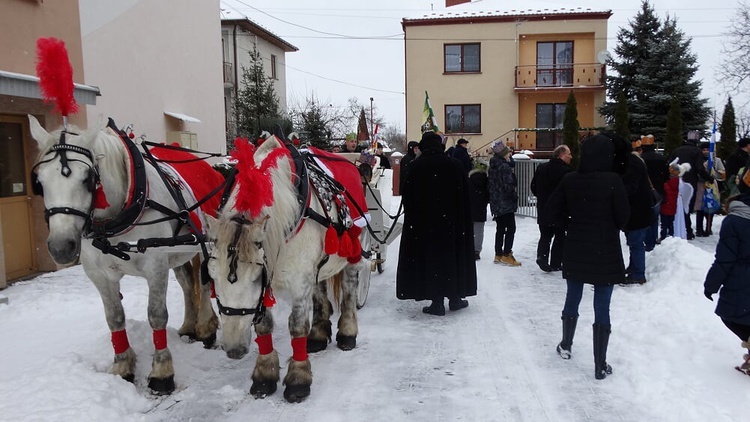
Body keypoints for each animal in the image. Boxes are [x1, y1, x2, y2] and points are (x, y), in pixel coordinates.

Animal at [30, 114, 223, 392]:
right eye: (40, 181)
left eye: (88, 178)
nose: (60, 247)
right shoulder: (99, 274)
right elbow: (114, 318)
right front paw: (122, 366)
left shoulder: (155, 265)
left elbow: (156, 315)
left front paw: (162, 372)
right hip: (177, 250)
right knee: (188, 283)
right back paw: (189, 326)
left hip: (205, 242)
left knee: (204, 281)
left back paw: (206, 327)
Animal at [206, 134, 370, 402]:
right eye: (211, 276)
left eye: (255, 277)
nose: (234, 349)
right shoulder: (277, 278)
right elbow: (263, 324)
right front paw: (264, 375)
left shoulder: (298, 281)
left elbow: (297, 325)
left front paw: (298, 379)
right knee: (320, 289)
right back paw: (318, 335)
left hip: (353, 249)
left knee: (349, 286)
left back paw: (347, 332)